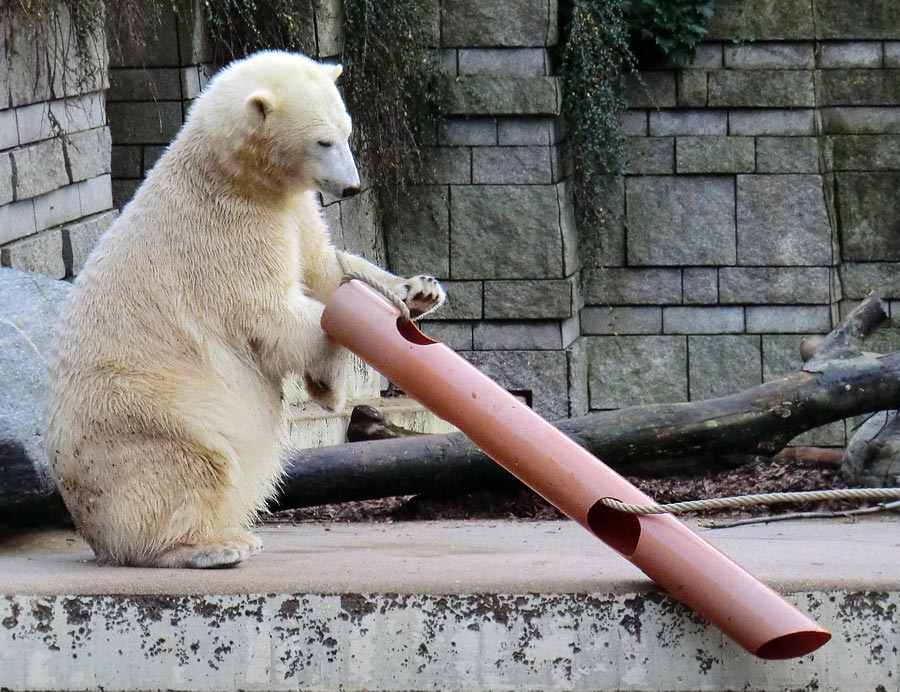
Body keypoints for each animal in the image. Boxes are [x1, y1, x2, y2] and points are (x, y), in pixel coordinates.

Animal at [45, 52, 446, 568]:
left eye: (348, 130)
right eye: (323, 140)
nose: (353, 188)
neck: (232, 174)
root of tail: (90, 529)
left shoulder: (293, 209)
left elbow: (326, 267)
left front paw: (418, 291)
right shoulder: (228, 231)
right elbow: (272, 313)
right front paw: (329, 386)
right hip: (142, 416)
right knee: (187, 465)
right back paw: (210, 546)